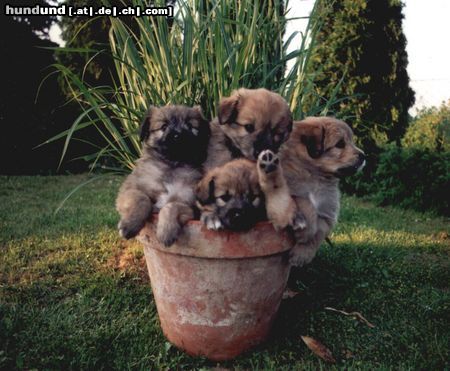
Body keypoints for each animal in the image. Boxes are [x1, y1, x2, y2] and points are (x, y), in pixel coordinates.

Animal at [114, 104, 209, 247]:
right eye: (164, 126)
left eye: (190, 125)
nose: (178, 136)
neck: (172, 165)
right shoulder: (129, 190)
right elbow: (142, 199)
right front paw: (129, 225)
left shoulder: (189, 205)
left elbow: (171, 206)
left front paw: (166, 231)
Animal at [260, 117, 366, 266]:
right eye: (340, 144)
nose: (364, 156)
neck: (316, 176)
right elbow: (306, 204)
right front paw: (305, 232)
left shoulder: (327, 212)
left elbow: (319, 231)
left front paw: (302, 254)